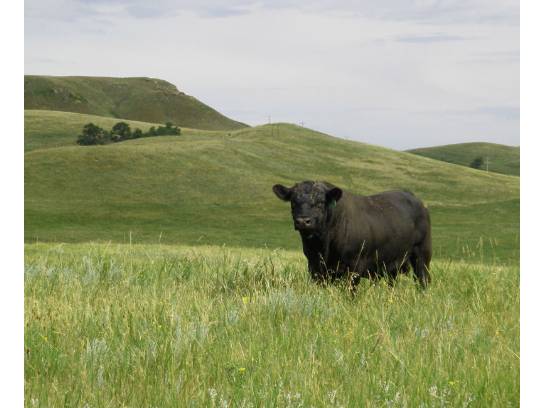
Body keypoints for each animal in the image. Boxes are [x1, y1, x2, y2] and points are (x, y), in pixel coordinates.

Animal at [272, 181, 431, 290]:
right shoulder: (315, 266)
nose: (303, 221)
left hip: (422, 255)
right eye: (293, 202)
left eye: (320, 202)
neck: (323, 246)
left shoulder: (354, 266)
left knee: (423, 279)